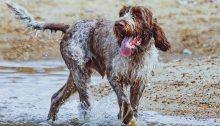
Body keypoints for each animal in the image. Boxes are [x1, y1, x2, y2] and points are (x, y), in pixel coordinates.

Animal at [5, 2, 170, 125]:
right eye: (122, 13)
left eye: (137, 14)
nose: (119, 24)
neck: (136, 54)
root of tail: (69, 27)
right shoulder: (114, 77)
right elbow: (124, 100)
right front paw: (127, 117)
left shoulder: (139, 81)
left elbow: (134, 105)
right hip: (80, 74)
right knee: (84, 106)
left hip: (75, 77)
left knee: (56, 98)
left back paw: (51, 120)